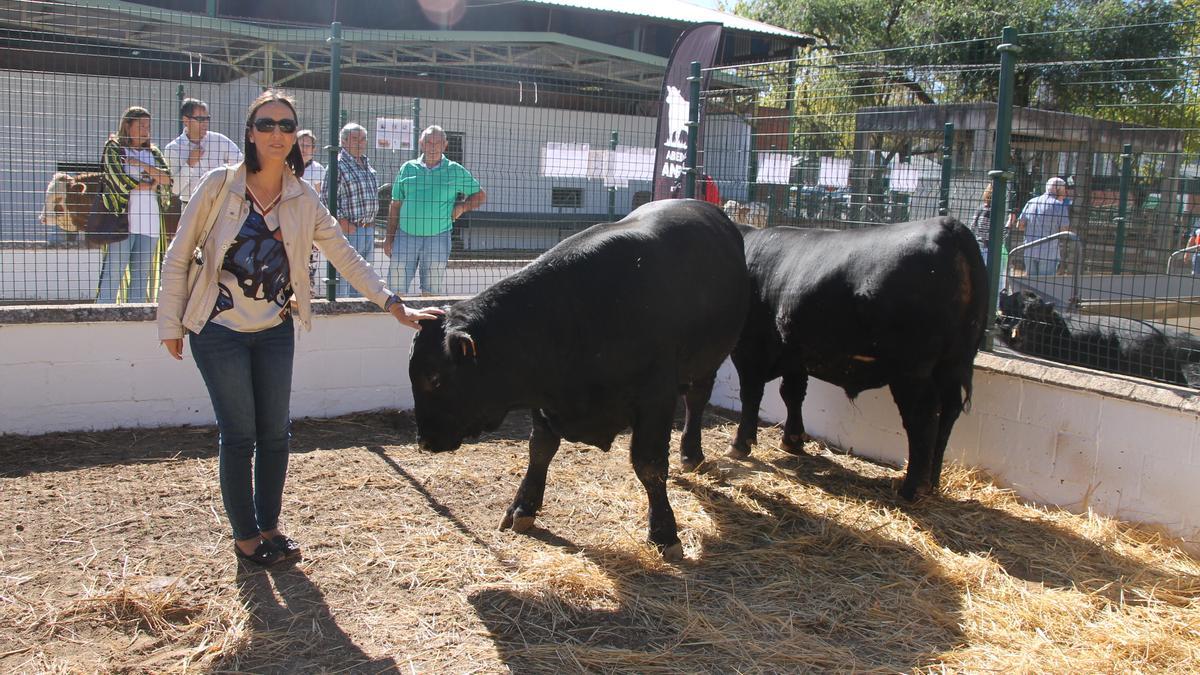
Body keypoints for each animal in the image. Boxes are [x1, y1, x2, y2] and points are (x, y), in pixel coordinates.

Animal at [412, 198, 748, 557]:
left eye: (435, 378)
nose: (424, 441)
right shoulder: (543, 395)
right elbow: (540, 449)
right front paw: (522, 508)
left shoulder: (655, 398)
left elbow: (650, 464)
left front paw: (664, 533)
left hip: (708, 361)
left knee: (696, 402)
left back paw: (691, 454)